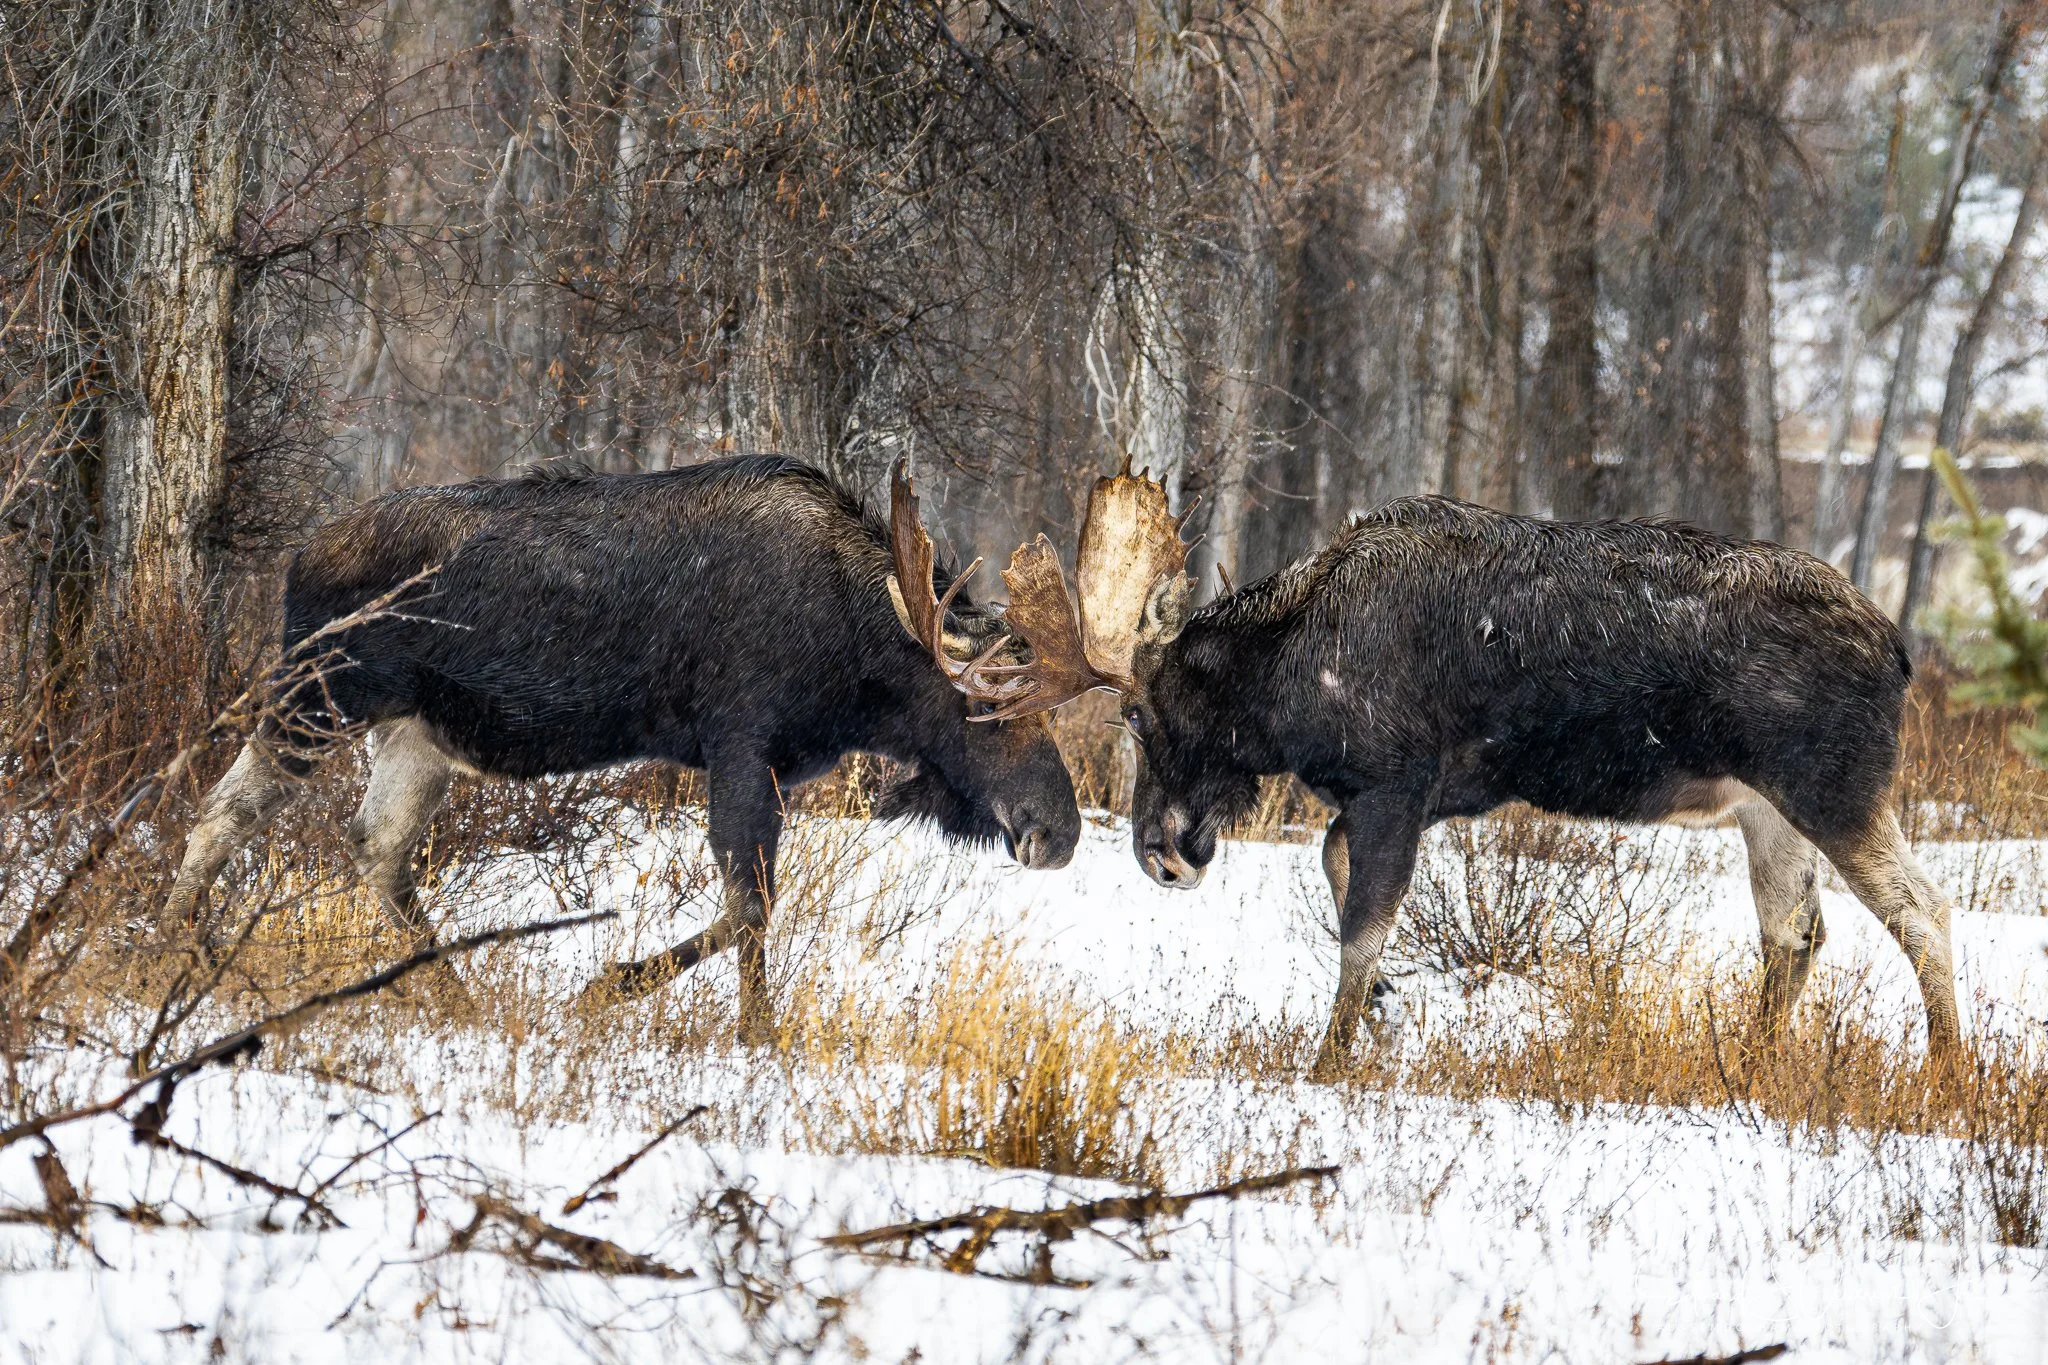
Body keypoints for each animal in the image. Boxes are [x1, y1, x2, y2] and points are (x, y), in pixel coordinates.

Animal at [161, 455, 1081, 1042]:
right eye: (984, 708)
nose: (1059, 831)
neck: (858, 651)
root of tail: (297, 557)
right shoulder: (740, 743)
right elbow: (750, 906)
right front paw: (693, 1012)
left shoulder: (768, 765)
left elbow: (747, 907)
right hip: (315, 694)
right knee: (224, 809)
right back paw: (174, 947)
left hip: (418, 733)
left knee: (376, 847)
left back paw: (452, 997)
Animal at [957, 469, 1964, 1074]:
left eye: (1135, 713)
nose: (1162, 853)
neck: (1287, 676)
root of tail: (1900, 649)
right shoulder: (1422, 794)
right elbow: (1337, 873)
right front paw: (1388, 1003)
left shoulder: (1395, 784)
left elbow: (1362, 920)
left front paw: (1330, 1060)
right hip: (1765, 811)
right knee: (1794, 933)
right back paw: (1752, 1062)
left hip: (1834, 788)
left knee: (1922, 907)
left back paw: (1948, 1069)